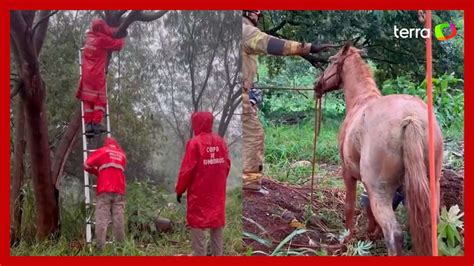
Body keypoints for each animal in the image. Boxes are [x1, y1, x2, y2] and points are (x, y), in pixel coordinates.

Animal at [314, 43, 444, 256]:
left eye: (332, 61)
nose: (317, 84)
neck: (361, 100)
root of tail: (411, 117)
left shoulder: (348, 173)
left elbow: (350, 206)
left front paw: (346, 241)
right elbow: (368, 210)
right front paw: (371, 233)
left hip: (380, 191)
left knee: (394, 234)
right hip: (430, 185)